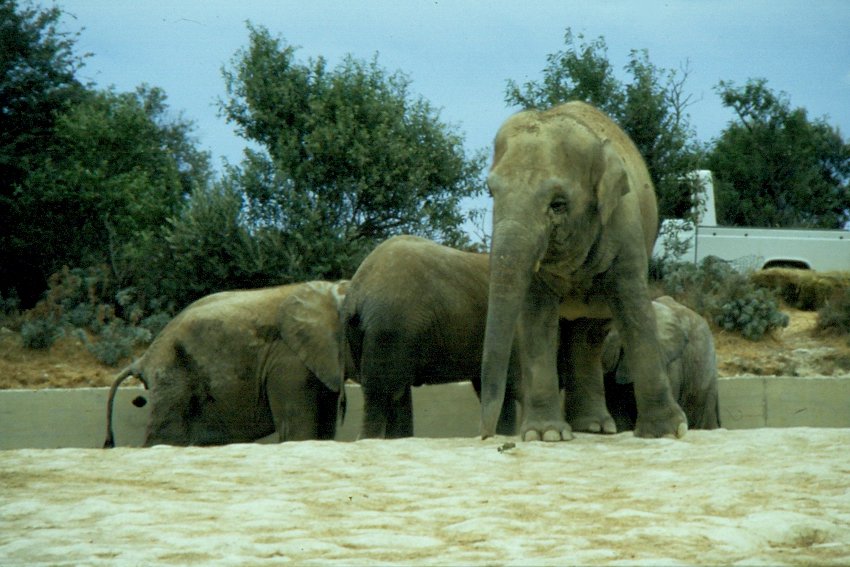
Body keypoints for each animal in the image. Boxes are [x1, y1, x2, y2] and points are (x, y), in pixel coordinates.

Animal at [480, 101, 684, 444]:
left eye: (558, 204)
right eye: (491, 193)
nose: (485, 436)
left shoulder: (624, 225)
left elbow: (633, 307)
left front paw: (668, 432)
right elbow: (536, 317)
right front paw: (546, 435)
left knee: (589, 334)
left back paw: (595, 427)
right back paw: (586, 427)